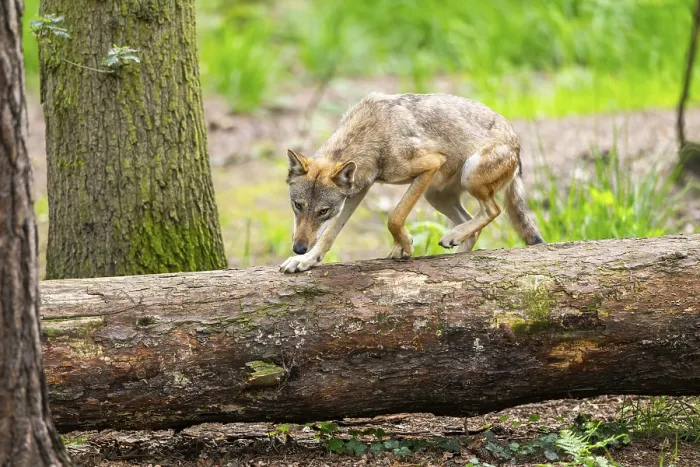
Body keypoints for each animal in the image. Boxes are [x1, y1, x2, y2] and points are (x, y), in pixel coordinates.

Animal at [280, 92, 545, 273]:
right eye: (298, 206)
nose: (299, 248)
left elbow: (395, 217)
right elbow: (329, 235)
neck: (372, 134)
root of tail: (516, 143)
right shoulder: (358, 190)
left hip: (468, 176)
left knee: (493, 210)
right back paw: (456, 248)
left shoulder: (430, 165)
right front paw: (305, 261)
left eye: (323, 211)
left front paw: (405, 245)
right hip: (435, 196)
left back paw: (452, 237)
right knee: (473, 223)